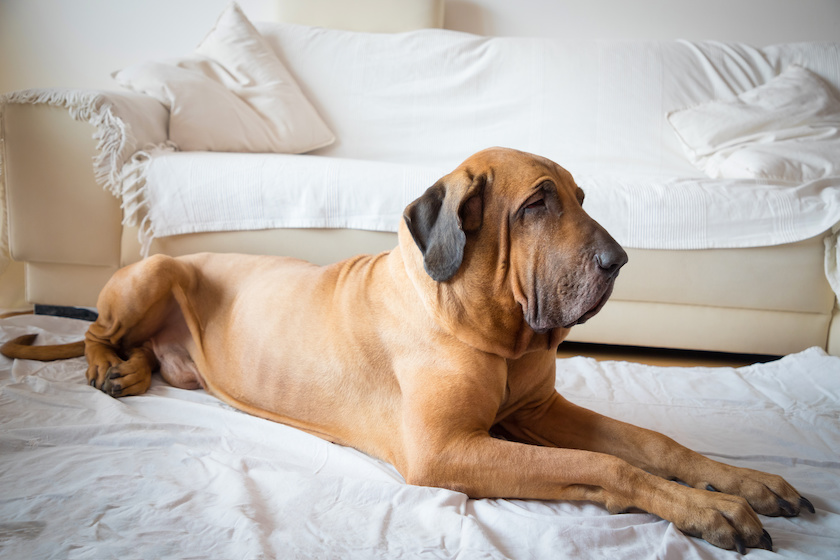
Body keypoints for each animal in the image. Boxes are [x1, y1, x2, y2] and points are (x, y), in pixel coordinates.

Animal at [3, 148, 812, 552]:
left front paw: (744, 482)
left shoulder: (538, 411)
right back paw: (106, 365)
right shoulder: (448, 449)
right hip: (161, 271)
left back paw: (134, 370)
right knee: (92, 332)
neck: (492, 329)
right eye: (538, 203)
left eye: (582, 198)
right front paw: (709, 511)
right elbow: (609, 465)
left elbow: (651, 442)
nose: (619, 261)